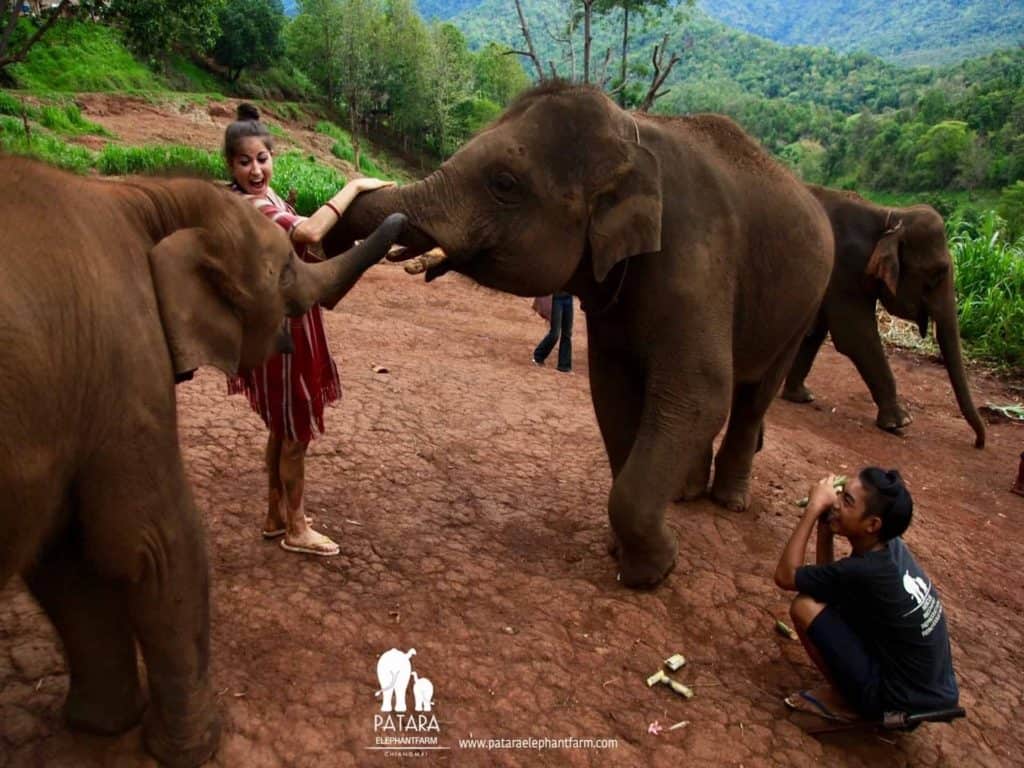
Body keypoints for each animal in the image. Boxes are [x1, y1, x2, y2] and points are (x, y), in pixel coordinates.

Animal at [0, 157, 405, 768]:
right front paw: (194, 747)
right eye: (285, 271)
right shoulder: (126, 355)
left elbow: (64, 561)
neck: (147, 198)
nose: (399, 208)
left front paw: (102, 727)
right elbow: (152, 542)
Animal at [323, 82, 835, 589]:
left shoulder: (696, 259)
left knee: (752, 396)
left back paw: (729, 501)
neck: (630, 136)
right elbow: (611, 389)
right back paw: (684, 496)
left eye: (504, 183)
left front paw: (653, 571)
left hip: (806, 303)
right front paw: (624, 551)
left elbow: (700, 393)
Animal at [778, 185, 987, 448]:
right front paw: (900, 422)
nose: (978, 443)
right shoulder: (844, 268)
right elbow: (855, 335)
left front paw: (801, 397)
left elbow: (814, 332)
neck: (889, 217)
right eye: (937, 273)